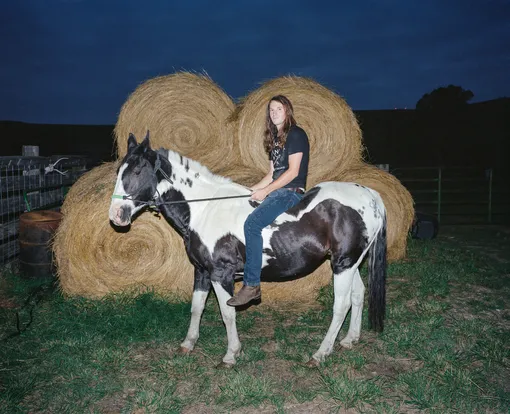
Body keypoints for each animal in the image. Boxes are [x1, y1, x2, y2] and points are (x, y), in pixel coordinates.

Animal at [108, 131, 386, 368]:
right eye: (119, 170)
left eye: (138, 170)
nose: (116, 215)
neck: (204, 209)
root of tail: (370, 194)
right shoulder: (202, 271)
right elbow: (197, 307)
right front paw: (188, 344)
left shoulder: (221, 273)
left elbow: (227, 313)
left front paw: (231, 354)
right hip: (350, 262)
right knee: (358, 295)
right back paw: (349, 340)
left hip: (343, 263)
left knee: (341, 305)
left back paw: (320, 353)